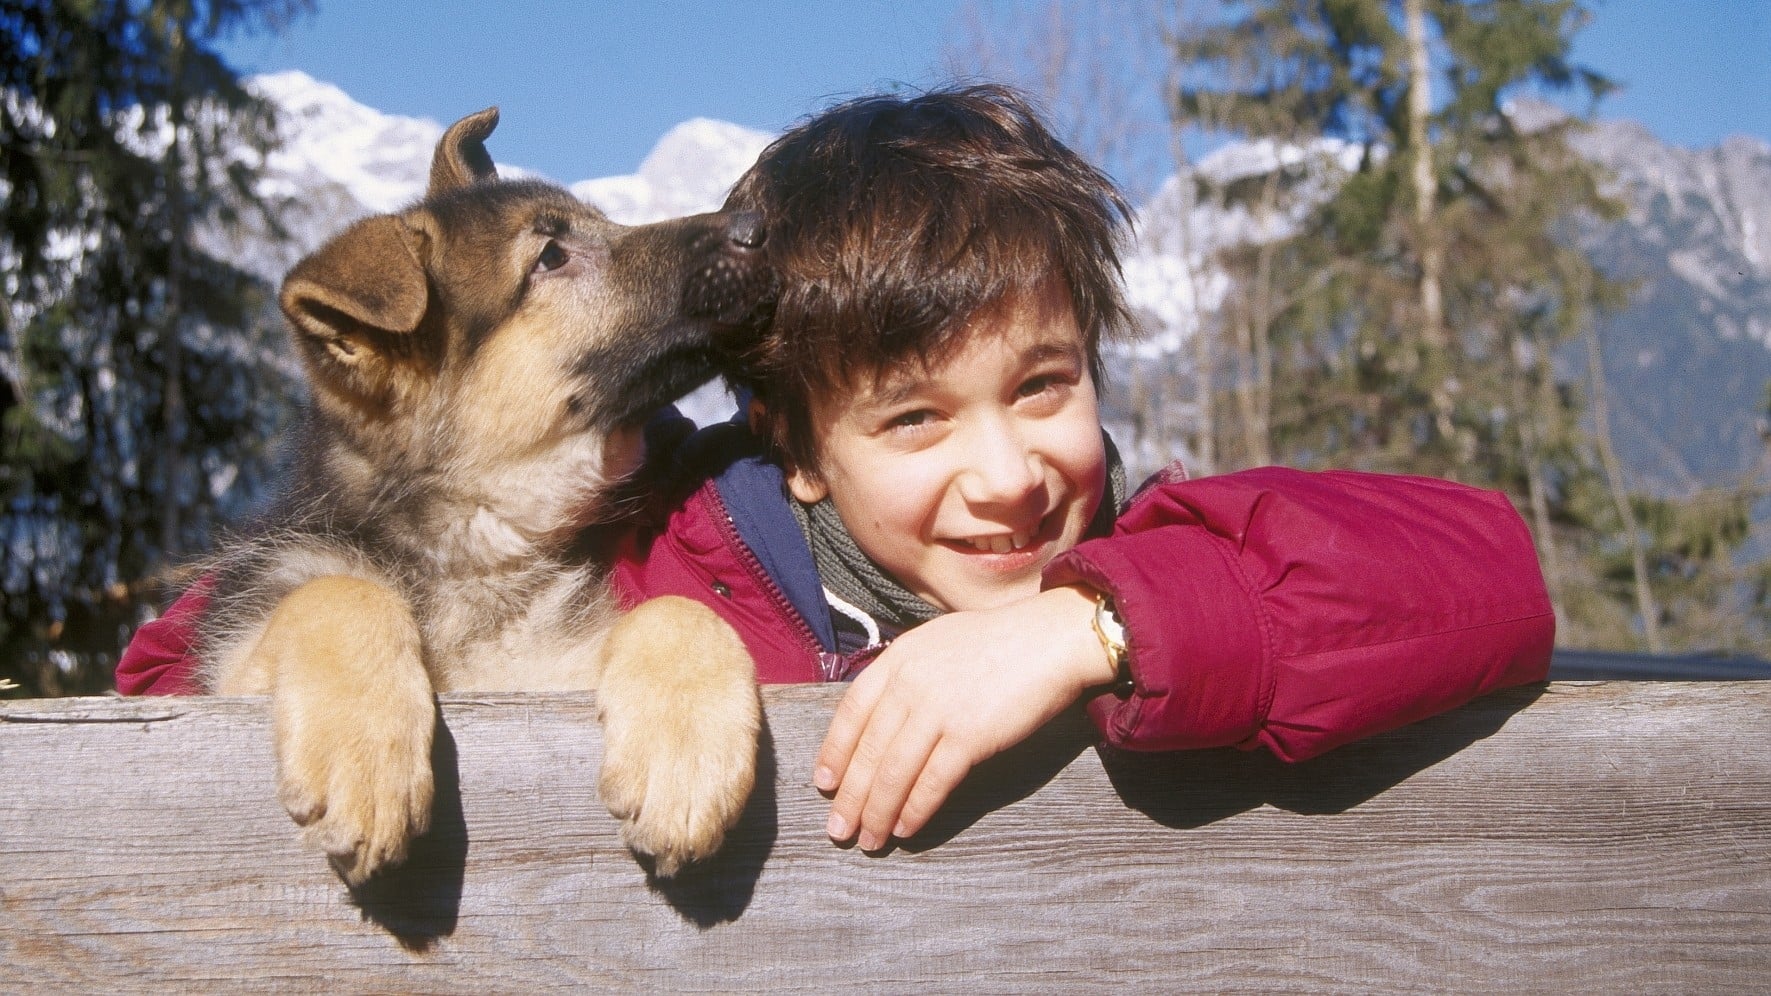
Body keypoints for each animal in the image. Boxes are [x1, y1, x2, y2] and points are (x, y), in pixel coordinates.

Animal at [197, 108, 772, 879]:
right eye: (550, 257)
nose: (760, 226)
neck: (481, 541)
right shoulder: (228, 676)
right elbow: (338, 591)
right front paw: (365, 755)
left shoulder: (545, 675)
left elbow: (678, 609)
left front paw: (684, 756)